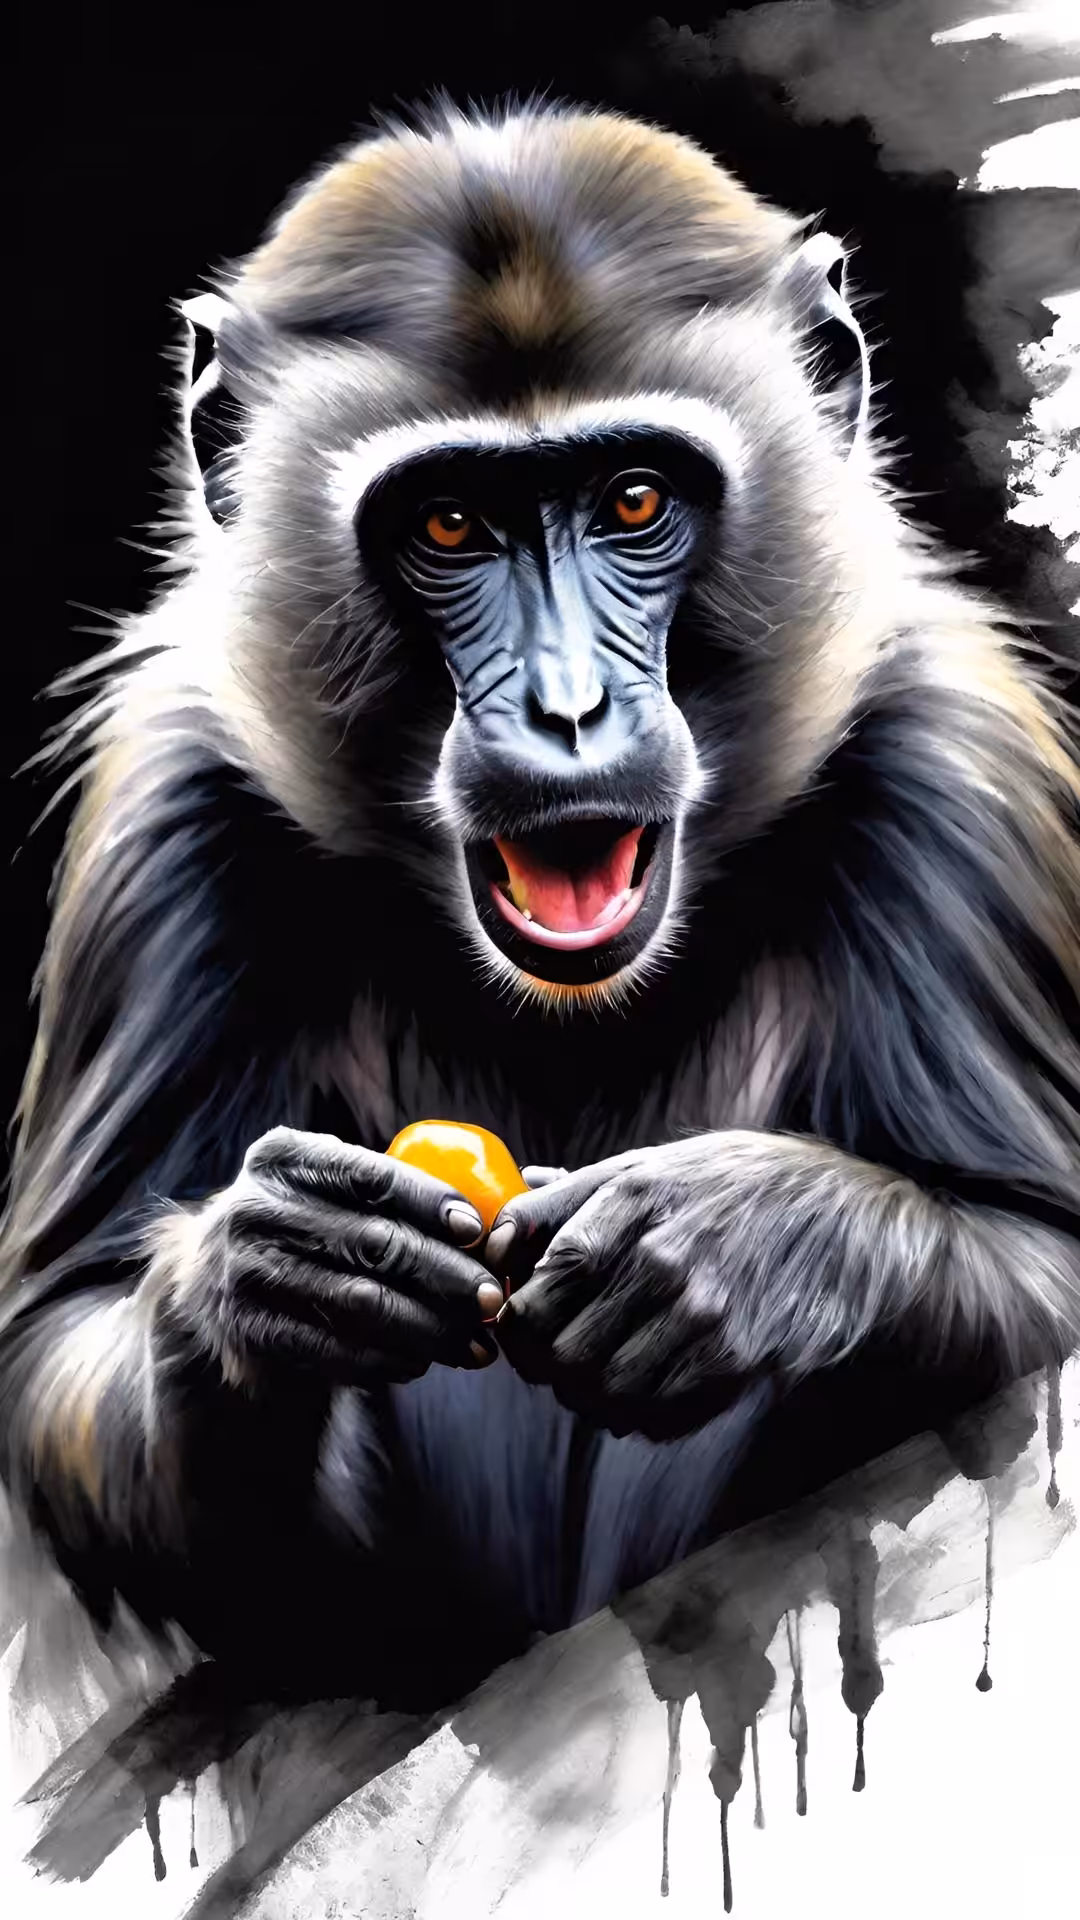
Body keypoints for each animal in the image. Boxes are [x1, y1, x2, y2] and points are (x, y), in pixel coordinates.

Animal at [2, 99, 1079, 1706]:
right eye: (450, 524)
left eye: (634, 499)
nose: (567, 712)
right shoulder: (161, 819)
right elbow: (59, 1353)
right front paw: (269, 1285)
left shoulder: (959, 773)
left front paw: (749, 1246)